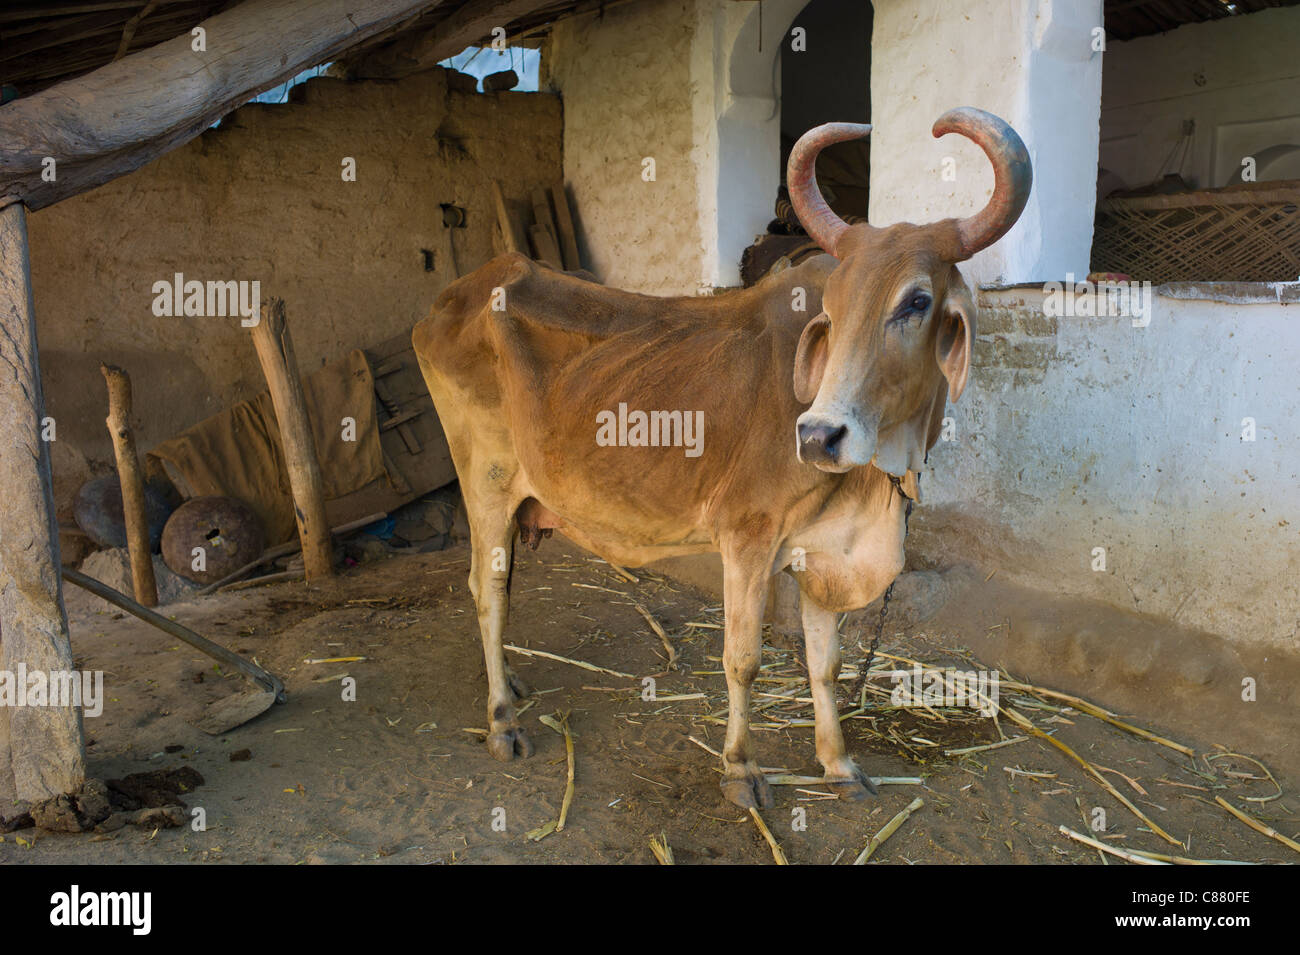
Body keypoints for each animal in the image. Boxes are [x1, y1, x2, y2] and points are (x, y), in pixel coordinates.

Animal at [410, 108, 1029, 810]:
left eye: (917, 301)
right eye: (832, 307)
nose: (818, 436)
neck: (875, 479)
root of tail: (461, 293)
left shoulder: (825, 553)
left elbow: (825, 664)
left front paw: (838, 764)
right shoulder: (748, 538)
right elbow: (743, 660)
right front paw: (741, 769)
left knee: (502, 586)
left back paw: (511, 683)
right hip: (485, 483)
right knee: (488, 593)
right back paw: (502, 722)